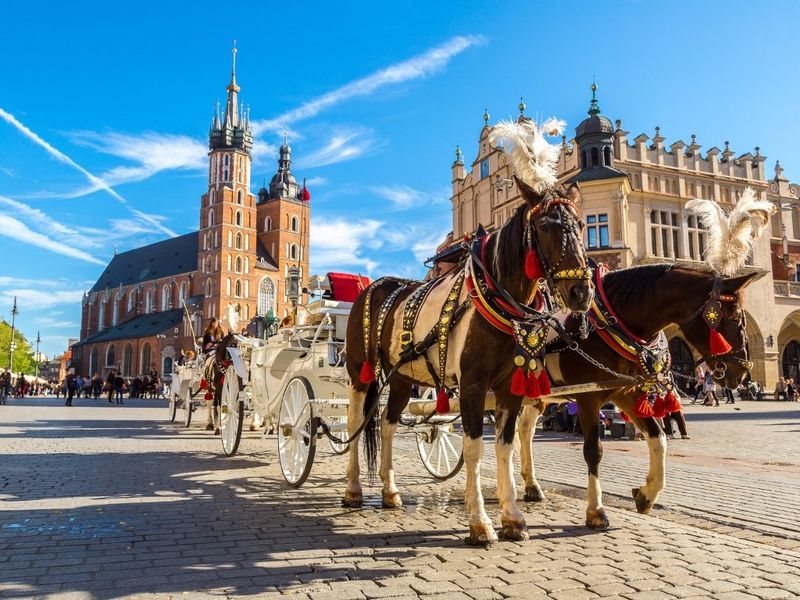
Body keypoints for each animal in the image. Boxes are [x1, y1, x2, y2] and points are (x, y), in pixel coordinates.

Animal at [344, 176, 592, 548]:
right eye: (545, 226)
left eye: (581, 225)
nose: (581, 292)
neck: (496, 300)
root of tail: (375, 286)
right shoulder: (474, 387)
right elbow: (474, 448)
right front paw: (480, 523)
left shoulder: (510, 389)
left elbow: (505, 446)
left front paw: (513, 517)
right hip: (360, 373)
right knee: (355, 422)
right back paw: (353, 489)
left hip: (401, 377)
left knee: (387, 424)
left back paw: (390, 491)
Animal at [520, 262, 756, 528]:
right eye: (735, 318)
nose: (742, 372)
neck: (608, 324)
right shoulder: (588, 398)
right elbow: (593, 451)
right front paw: (596, 510)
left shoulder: (627, 392)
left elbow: (658, 438)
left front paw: (647, 494)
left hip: (535, 395)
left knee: (524, 431)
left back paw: (531, 486)